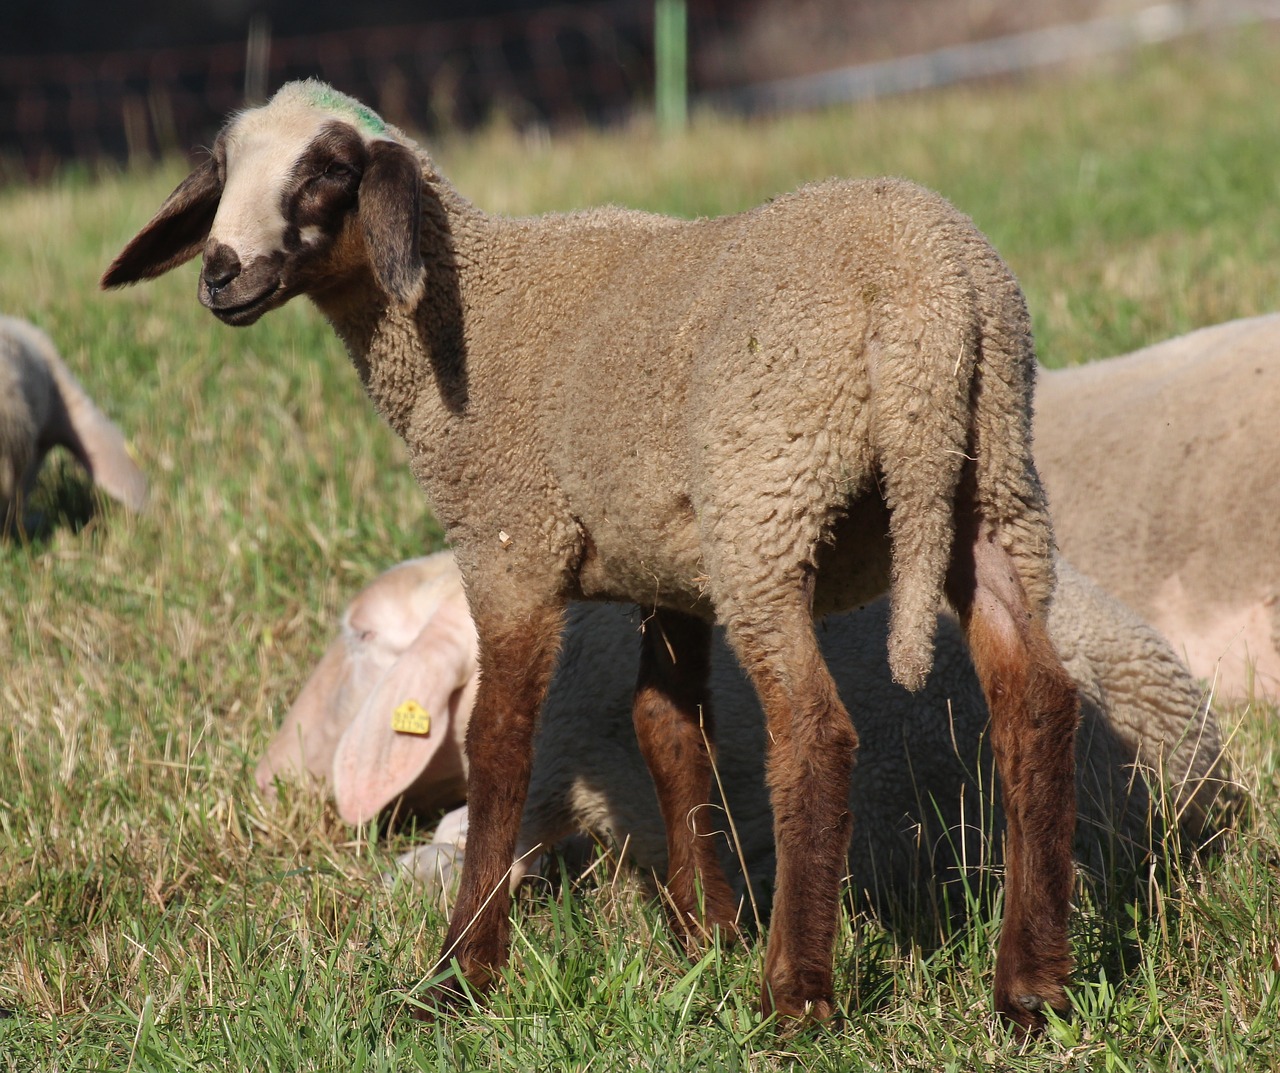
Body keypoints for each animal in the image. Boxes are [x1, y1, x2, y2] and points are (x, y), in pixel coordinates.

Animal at [102, 77, 1080, 1034]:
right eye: (223, 171)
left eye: (328, 172)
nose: (220, 274)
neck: (475, 306)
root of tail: (929, 299)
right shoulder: (665, 567)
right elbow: (666, 726)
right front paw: (705, 930)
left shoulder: (511, 543)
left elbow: (499, 745)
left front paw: (458, 974)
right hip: (991, 488)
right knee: (1036, 700)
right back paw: (1031, 987)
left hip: (766, 502)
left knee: (814, 731)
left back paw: (795, 996)